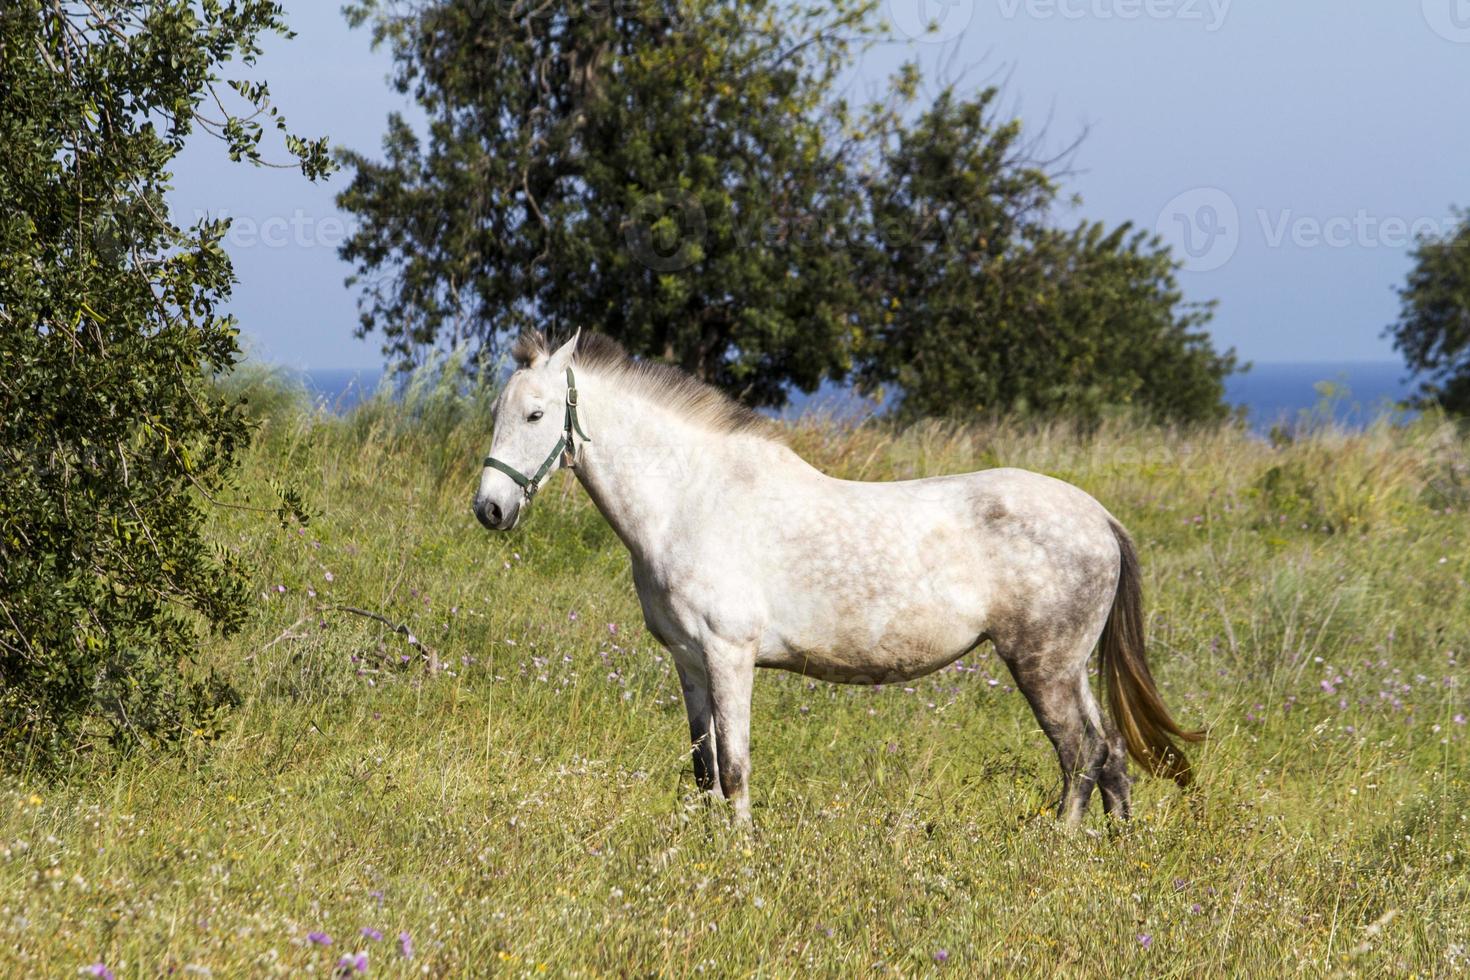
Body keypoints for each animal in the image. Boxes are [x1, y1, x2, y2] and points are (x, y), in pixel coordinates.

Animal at [476, 333, 1199, 822]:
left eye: (536, 415)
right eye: (498, 413)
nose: (490, 509)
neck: (691, 499)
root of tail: (1099, 516)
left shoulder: (729, 654)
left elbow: (735, 765)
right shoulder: (688, 660)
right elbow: (704, 767)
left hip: (1042, 666)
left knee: (1080, 755)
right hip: (1069, 667)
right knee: (1112, 753)